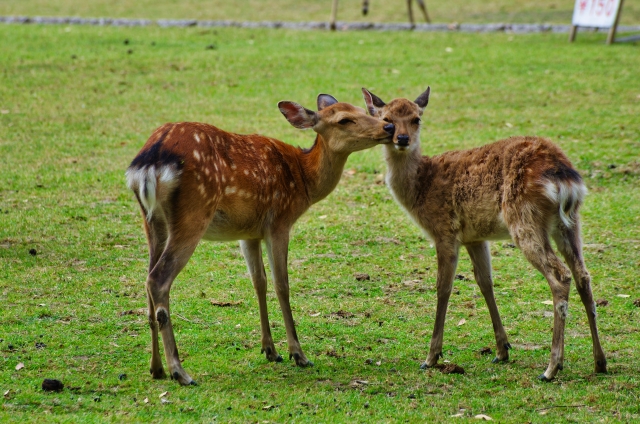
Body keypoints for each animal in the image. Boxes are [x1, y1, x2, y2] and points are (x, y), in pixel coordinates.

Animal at [125, 95, 396, 384]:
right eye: (344, 119)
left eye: (362, 109)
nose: (389, 127)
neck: (304, 180)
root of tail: (149, 163)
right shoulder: (278, 222)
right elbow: (282, 284)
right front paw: (298, 354)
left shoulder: (249, 232)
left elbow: (259, 282)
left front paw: (270, 350)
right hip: (193, 214)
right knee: (158, 279)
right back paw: (180, 371)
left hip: (152, 221)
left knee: (147, 279)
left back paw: (156, 368)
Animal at [362, 86, 608, 380]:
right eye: (386, 120)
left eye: (416, 118)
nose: (402, 138)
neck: (421, 187)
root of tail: (564, 177)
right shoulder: (475, 237)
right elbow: (485, 282)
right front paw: (502, 351)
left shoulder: (445, 231)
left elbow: (443, 287)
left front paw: (431, 357)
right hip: (569, 223)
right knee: (583, 275)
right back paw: (600, 362)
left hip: (524, 219)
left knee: (561, 276)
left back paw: (551, 368)